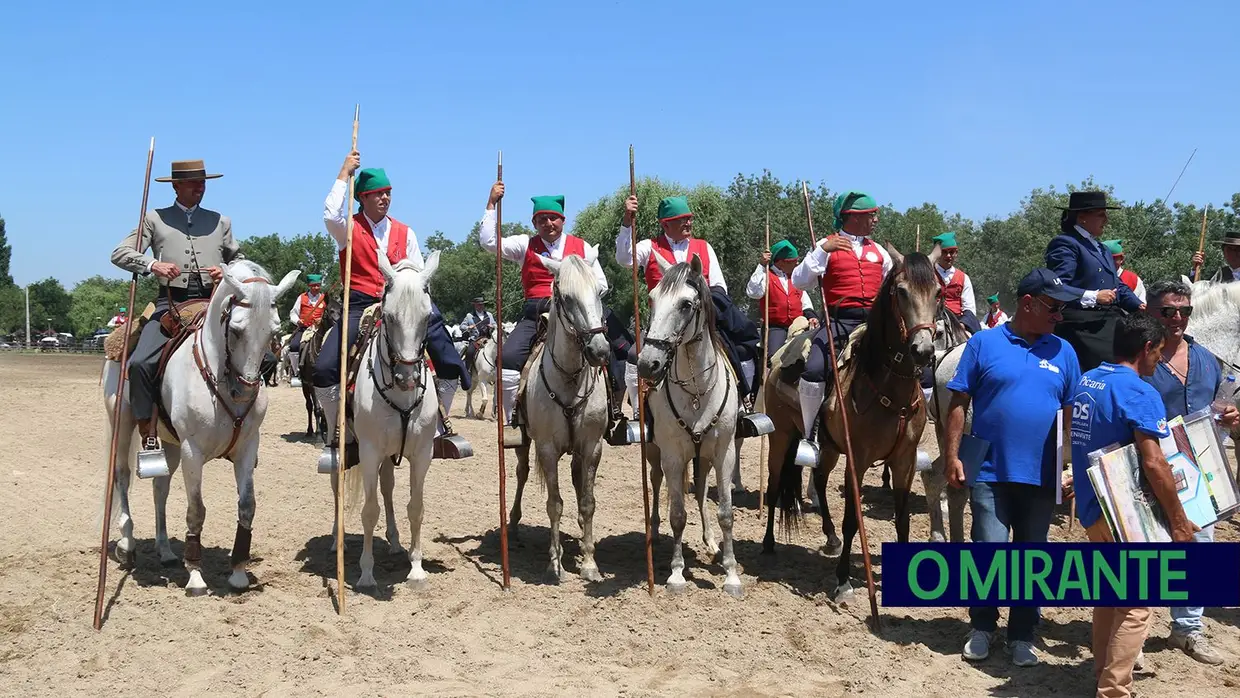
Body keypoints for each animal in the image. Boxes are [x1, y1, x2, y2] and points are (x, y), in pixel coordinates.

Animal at [100, 259, 296, 597]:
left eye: (275, 331)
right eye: (236, 330)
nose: (245, 392)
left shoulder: (247, 449)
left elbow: (247, 506)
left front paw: (238, 572)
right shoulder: (193, 451)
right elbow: (196, 510)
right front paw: (195, 576)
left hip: (170, 443)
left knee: (160, 488)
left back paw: (165, 550)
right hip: (122, 424)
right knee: (122, 477)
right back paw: (127, 545)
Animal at [349, 251, 446, 590]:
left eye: (427, 318)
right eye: (389, 317)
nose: (407, 378)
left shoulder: (422, 454)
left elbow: (415, 507)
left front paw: (416, 568)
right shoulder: (367, 452)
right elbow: (369, 510)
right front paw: (365, 573)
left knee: (388, 488)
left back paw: (393, 542)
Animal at [505, 254, 612, 582]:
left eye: (600, 292)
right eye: (566, 297)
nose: (600, 350)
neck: (569, 380)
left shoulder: (591, 447)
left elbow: (588, 502)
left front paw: (589, 562)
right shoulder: (547, 449)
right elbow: (554, 504)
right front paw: (555, 563)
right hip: (525, 443)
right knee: (522, 473)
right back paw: (513, 526)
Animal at [639, 254, 734, 597]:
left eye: (685, 304)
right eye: (651, 300)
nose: (647, 364)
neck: (696, 391)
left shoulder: (724, 453)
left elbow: (725, 513)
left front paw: (731, 573)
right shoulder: (672, 455)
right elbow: (678, 515)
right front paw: (677, 573)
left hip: (703, 457)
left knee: (703, 489)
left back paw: (710, 541)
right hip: (655, 454)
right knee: (655, 483)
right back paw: (653, 529)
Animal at [758, 244, 932, 600]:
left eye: (937, 291)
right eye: (902, 292)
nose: (923, 350)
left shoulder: (904, 461)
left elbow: (902, 518)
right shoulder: (858, 460)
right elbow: (853, 520)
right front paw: (843, 580)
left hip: (829, 447)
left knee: (820, 480)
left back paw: (830, 536)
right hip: (781, 437)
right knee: (774, 485)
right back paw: (769, 544)